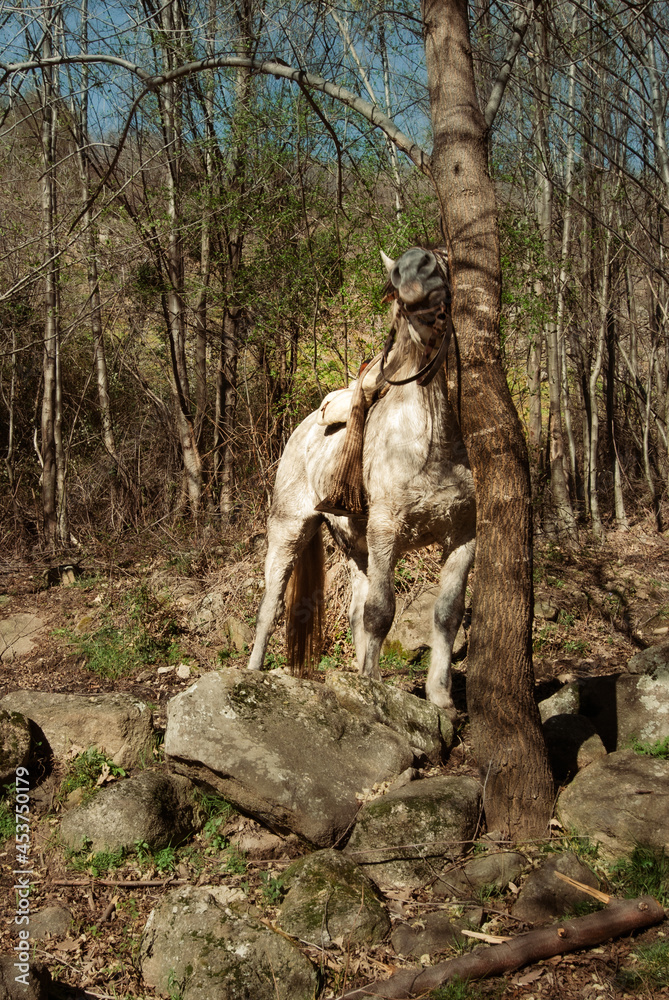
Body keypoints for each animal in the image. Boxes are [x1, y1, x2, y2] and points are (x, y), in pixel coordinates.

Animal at [247, 247, 476, 710]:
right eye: (396, 280)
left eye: (441, 264)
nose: (416, 270)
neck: (429, 444)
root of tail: (303, 428)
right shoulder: (387, 532)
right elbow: (382, 612)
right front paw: (372, 687)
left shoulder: (461, 538)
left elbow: (446, 615)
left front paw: (439, 697)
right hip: (288, 532)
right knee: (270, 608)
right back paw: (253, 673)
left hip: (357, 547)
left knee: (354, 612)